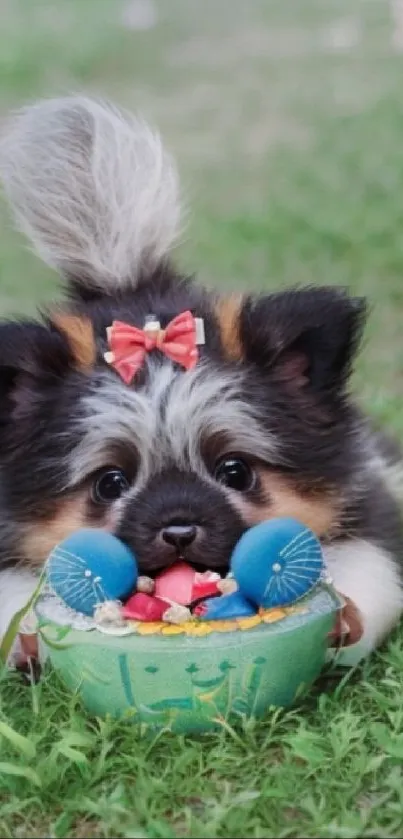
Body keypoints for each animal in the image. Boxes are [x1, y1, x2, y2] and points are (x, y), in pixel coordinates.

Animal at [0, 93, 402, 656]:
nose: (179, 530)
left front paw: (346, 612)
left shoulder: (368, 507)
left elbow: (368, 564)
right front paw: (27, 641)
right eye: (109, 483)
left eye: (235, 471)